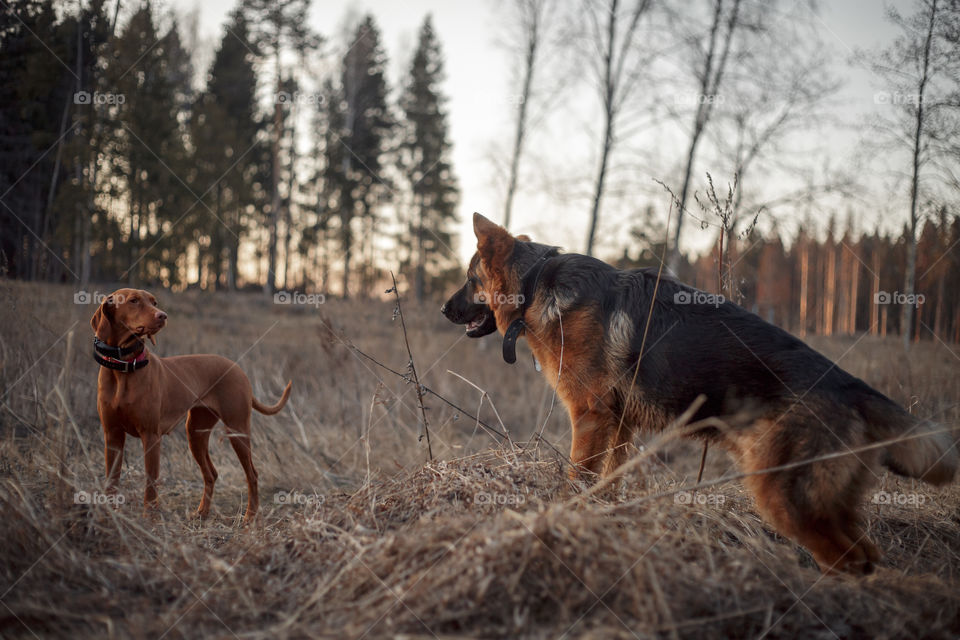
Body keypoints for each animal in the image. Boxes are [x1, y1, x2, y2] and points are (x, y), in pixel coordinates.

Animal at [92, 288, 290, 524]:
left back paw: (250, 517)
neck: (124, 367)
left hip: (237, 430)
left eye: (154, 302)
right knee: (211, 473)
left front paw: (150, 519)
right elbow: (111, 481)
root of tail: (237, 368)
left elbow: (150, 483)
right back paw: (202, 513)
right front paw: (108, 517)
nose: (163, 315)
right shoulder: (112, 435)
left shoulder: (151, 436)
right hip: (195, 431)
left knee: (252, 474)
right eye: (133, 301)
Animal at [440, 212, 952, 572]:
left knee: (852, 560)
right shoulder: (618, 425)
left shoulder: (589, 418)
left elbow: (578, 480)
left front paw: (562, 519)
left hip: (784, 496)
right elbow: (611, 480)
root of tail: (850, 384)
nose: (444, 310)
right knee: (867, 556)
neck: (535, 285)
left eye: (469, 279)